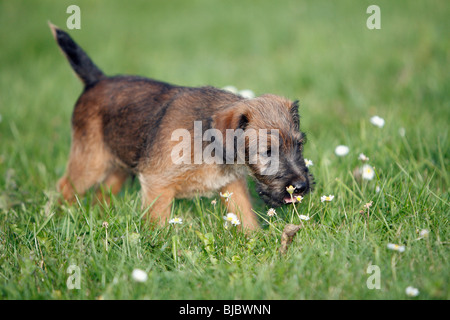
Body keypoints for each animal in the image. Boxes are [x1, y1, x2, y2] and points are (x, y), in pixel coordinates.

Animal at [50, 23, 312, 230]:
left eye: (299, 146)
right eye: (267, 151)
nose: (300, 187)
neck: (210, 143)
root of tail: (97, 80)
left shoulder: (232, 185)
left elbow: (244, 214)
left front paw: (254, 240)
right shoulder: (158, 184)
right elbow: (158, 222)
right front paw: (157, 248)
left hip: (119, 162)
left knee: (102, 192)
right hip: (90, 160)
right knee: (65, 187)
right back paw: (58, 219)